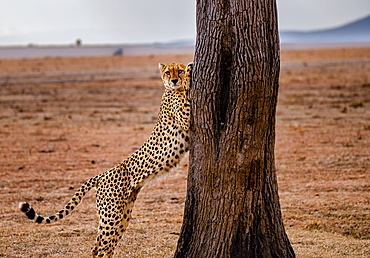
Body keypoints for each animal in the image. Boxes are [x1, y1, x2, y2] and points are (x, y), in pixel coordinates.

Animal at [19, 61, 194, 256]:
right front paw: (190, 71)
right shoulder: (185, 118)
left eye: (177, 71)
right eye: (168, 72)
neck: (169, 91)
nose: (174, 80)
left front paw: (188, 70)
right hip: (112, 216)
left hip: (122, 215)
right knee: (101, 248)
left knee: (100, 246)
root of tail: (102, 175)